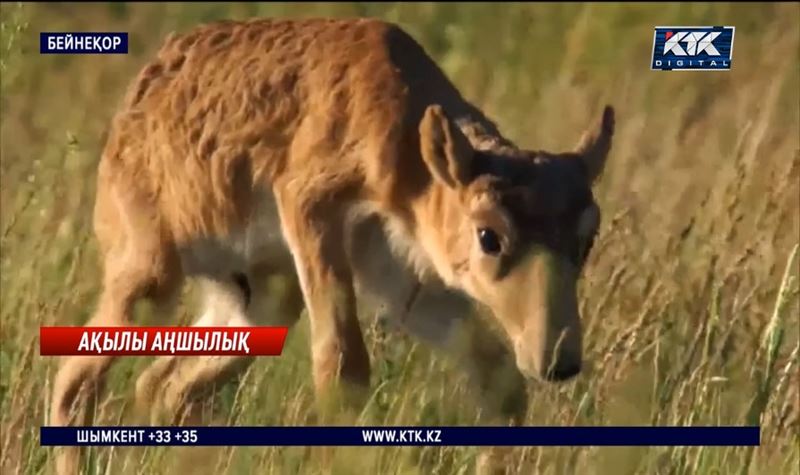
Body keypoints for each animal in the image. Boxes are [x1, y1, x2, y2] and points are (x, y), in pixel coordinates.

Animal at [50, 16, 616, 474]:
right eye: (489, 236)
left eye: (587, 238)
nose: (558, 362)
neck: (405, 140)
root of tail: (137, 99)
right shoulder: (309, 205)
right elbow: (342, 370)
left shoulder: (406, 282)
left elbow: (499, 381)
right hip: (150, 276)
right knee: (75, 382)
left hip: (261, 303)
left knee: (163, 386)